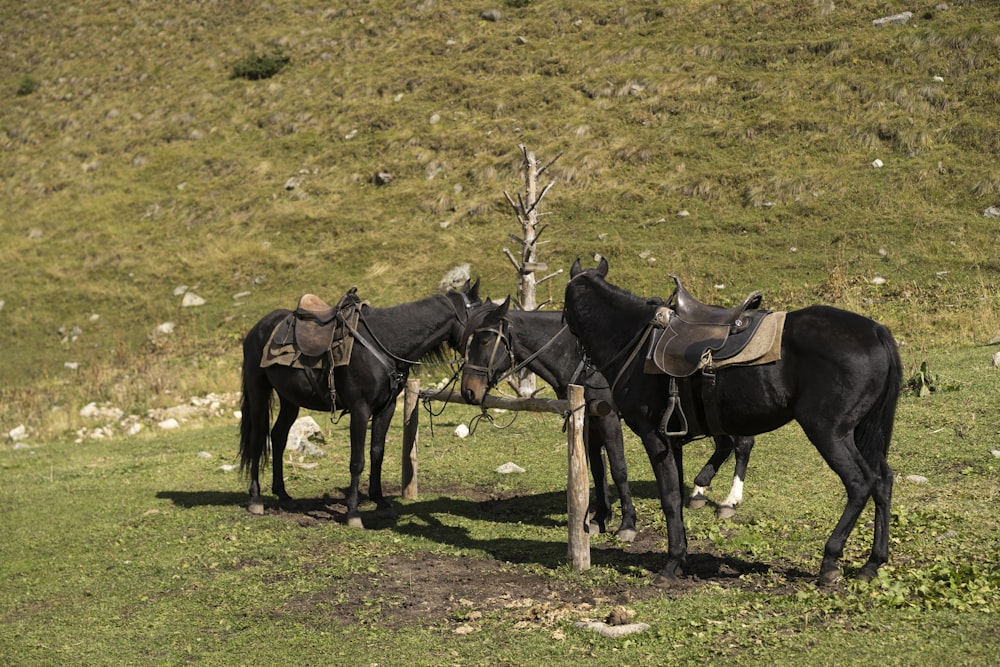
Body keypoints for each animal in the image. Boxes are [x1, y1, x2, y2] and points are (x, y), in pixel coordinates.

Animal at [238, 280, 480, 524]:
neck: (385, 342)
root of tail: (257, 329)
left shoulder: (386, 408)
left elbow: (377, 453)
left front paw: (381, 503)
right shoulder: (360, 409)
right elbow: (358, 460)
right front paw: (353, 512)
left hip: (290, 399)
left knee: (278, 437)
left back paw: (284, 496)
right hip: (258, 391)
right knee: (258, 439)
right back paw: (256, 499)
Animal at [568, 258, 904, 588]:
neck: (635, 344)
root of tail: (876, 330)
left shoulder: (655, 438)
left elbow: (670, 498)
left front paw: (671, 565)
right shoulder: (673, 441)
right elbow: (676, 496)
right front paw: (681, 557)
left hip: (829, 433)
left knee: (859, 483)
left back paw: (830, 561)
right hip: (861, 432)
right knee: (882, 481)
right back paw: (872, 564)